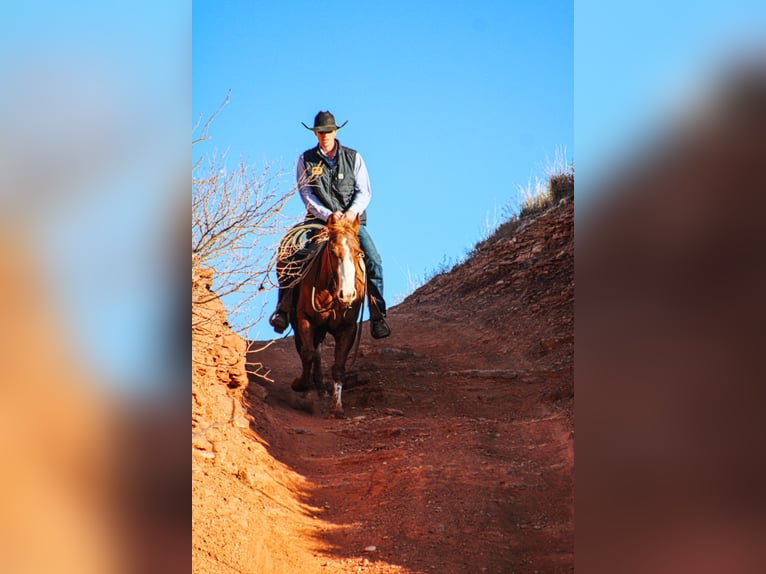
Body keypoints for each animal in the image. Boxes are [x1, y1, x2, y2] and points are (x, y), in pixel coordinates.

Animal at [292, 212, 368, 418]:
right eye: (333, 253)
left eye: (358, 253)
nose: (347, 294)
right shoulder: (305, 319)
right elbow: (308, 353)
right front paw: (301, 385)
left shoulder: (348, 329)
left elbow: (339, 367)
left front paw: (337, 407)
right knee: (311, 350)